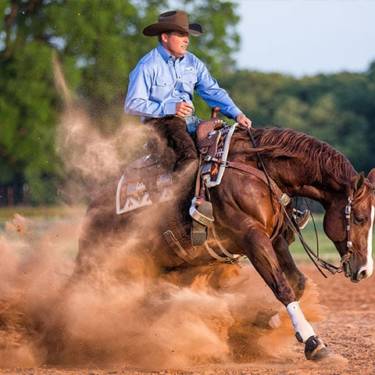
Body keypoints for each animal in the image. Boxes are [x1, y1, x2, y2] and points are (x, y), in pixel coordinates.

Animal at [76, 126, 375, 362]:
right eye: (360, 218)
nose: (364, 271)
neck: (258, 171)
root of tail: (93, 208)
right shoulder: (252, 238)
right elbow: (281, 285)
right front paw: (313, 343)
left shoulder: (276, 239)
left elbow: (296, 283)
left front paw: (267, 321)